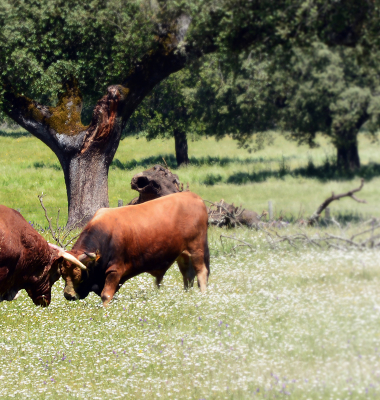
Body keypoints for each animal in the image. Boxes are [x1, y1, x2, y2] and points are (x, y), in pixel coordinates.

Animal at [62, 191, 211, 306]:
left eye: (79, 277)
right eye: (63, 275)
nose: (68, 295)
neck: (105, 235)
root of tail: (195, 197)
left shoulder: (114, 271)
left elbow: (106, 294)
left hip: (196, 250)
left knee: (201, 271)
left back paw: (203, 295)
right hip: (183, 254)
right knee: (187, 275)